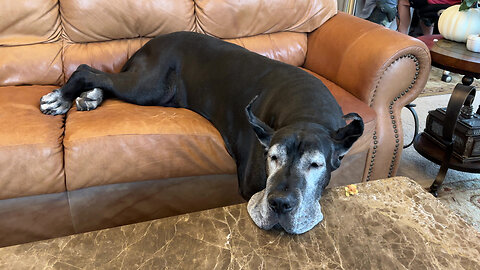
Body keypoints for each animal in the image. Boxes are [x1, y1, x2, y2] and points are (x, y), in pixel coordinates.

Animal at [40, 31, 364, 234]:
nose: (280, 204)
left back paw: (91, 97)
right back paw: (62, 98)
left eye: (316, 165)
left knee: (102, 78)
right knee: (86, 69)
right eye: (272, 157)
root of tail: (149, 43)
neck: (305, 112)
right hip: (149, 86)